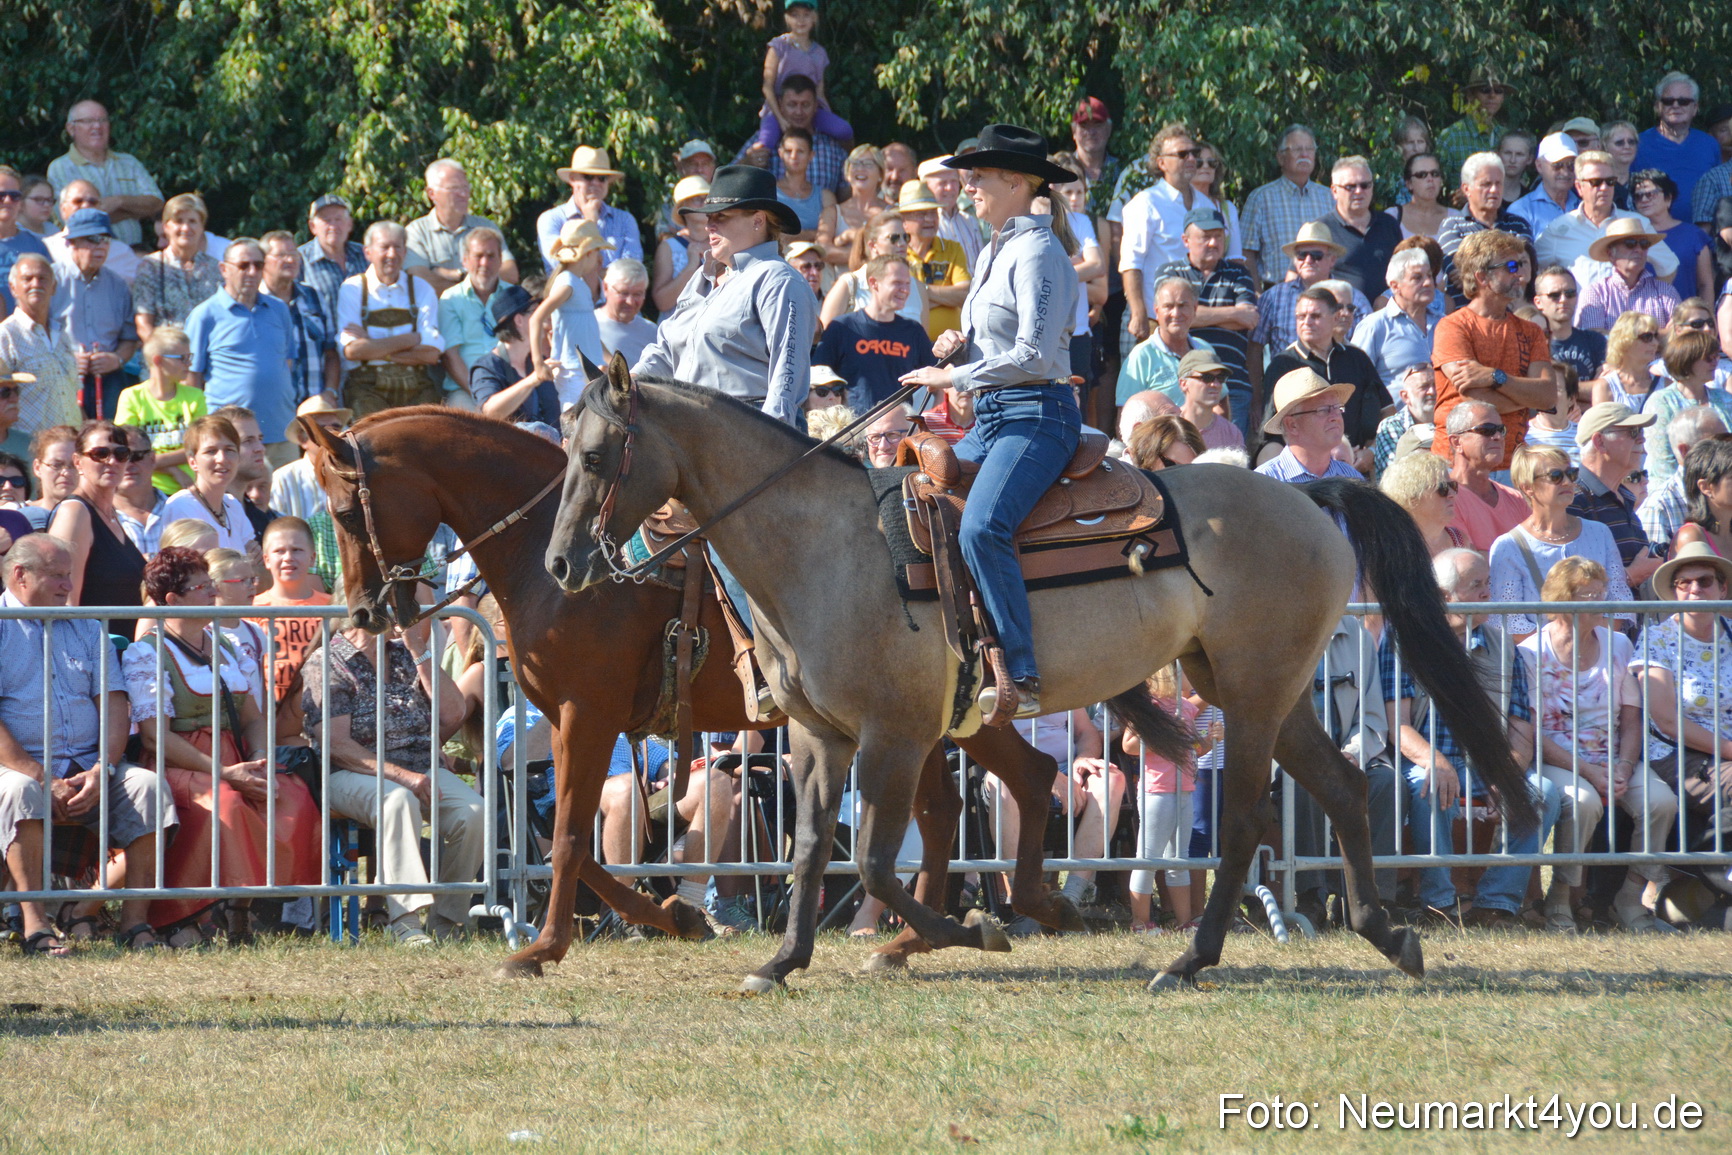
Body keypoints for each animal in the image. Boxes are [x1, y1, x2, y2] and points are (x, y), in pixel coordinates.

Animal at [301, 407, 1090, 977]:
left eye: (344, 512)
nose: (363, 614)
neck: (551, 559)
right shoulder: (572, 727)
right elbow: (577, 844)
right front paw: (676, 917)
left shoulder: (584, 716)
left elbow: (567, 841)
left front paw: (542, 949)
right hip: (917, 723)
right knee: (962, 802)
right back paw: (930, 936)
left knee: (1011, 782)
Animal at [544, 359, 1537, 993]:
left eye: (594, 455)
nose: (559, 565)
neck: (825, 549)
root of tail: (1306, 494)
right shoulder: (817, 736)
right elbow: (810, 848)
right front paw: (782, 962)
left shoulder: (896, 735)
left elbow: (873, 861)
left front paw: (971, 930)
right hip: (1257, 686)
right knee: (1340, 787)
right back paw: (1388, 935)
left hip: (1256, 691)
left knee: (1250, 814)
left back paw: (1187, 961)